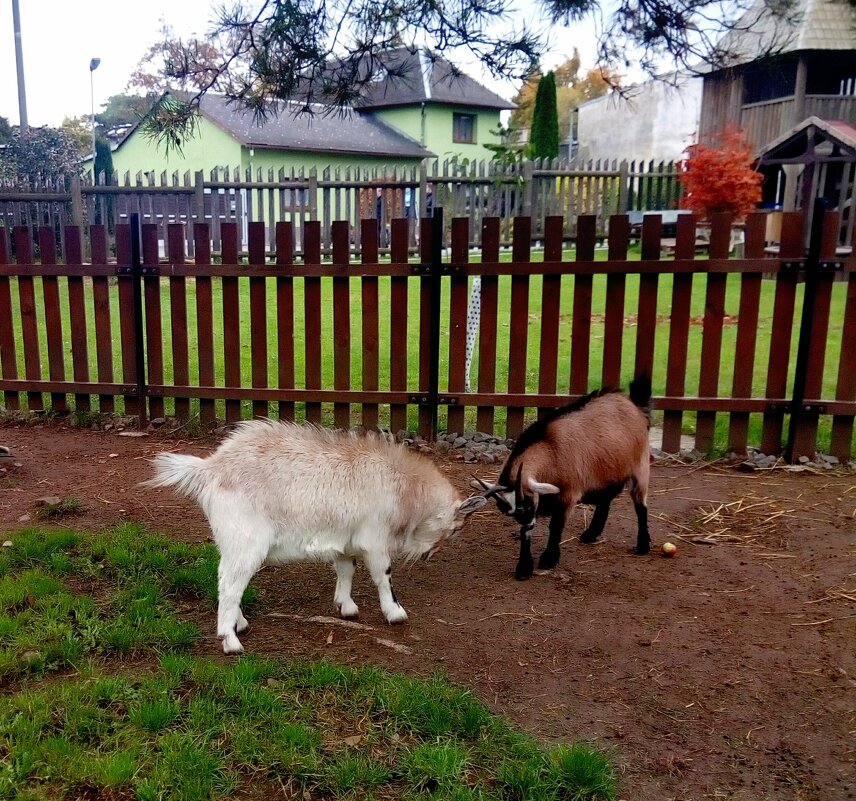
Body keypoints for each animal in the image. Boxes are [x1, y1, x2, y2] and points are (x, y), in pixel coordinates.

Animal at [144, 422, 484, 652]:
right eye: (455, 529)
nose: (430, 554)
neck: (403, 485)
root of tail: (210, 468)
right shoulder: (375, 539)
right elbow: (382, 575)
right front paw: (395, 613)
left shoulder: (346, 539)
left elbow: (346, 569)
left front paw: (346, 607)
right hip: (246, 540)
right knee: (230, 583)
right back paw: (230, 640)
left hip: (232, 542)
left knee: (226, 578)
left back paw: (239, 624)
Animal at [474, 372, 648, 580]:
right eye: (512, 513)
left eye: (528, 505)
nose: (529, 522)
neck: (550, 448)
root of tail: (632, 403)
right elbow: (526, 532)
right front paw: (524, 567)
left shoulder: (568, 494)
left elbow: (556, 526)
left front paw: (549, 559)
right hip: (606, 473)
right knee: (605, 500)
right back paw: (591, 534)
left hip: (639, 467)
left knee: (640, 506)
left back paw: (643, 545)